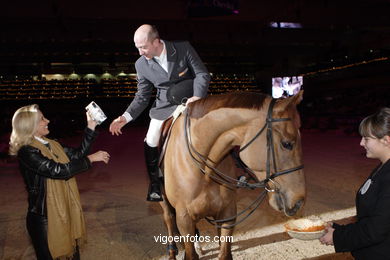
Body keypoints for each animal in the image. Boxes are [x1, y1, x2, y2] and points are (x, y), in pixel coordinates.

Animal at [158, 90, 304, 258]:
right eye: (287, 144)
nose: (299, 201)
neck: (205, 170)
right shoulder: (184, 220)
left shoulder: (227, 213)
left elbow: (224, 251)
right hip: (164, 201)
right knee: (168, 217)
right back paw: (171, 250)